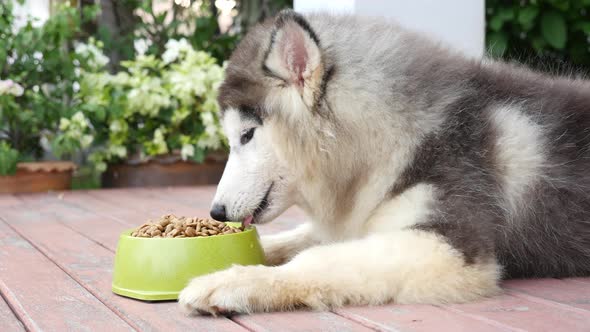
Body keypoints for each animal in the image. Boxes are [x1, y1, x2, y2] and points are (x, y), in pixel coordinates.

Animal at [179, 8, 590, 314]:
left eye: (247, 135)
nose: (216, 211)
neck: (399, 135)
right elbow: (292, 240)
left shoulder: (445, 246)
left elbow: (319, 259)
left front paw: (231, 281)